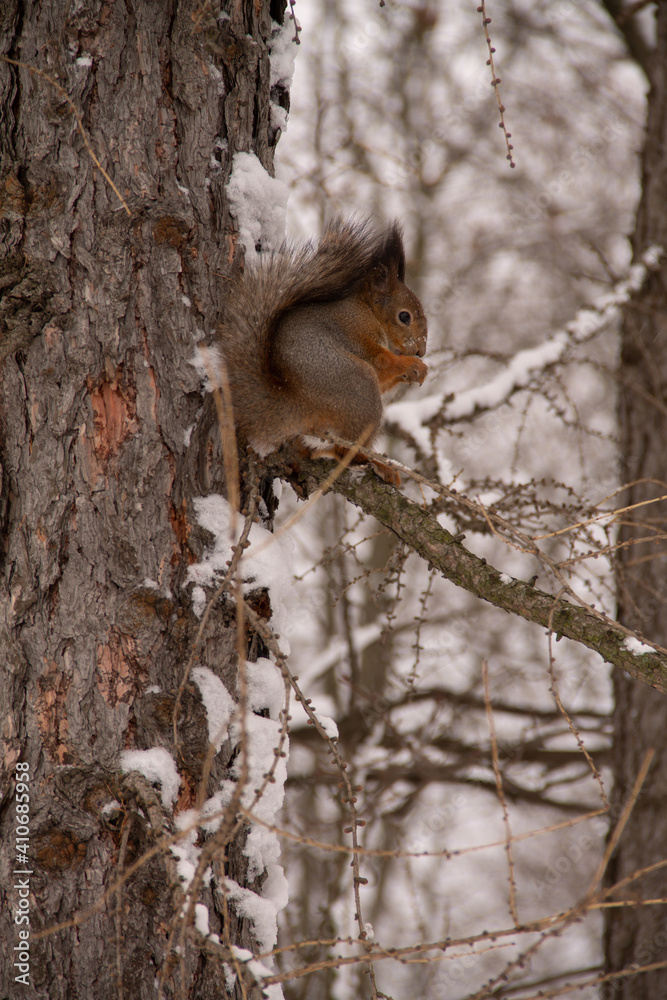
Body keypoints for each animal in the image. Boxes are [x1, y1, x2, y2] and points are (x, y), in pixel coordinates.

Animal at [218, 217, 428, 485]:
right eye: (404, 316)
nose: (421, 351)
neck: (368, 311)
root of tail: (298, 402)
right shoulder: (356, 331)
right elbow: (380, 361)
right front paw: (412, 366)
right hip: (358, 387)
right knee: (345, 451)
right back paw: (379, 465)